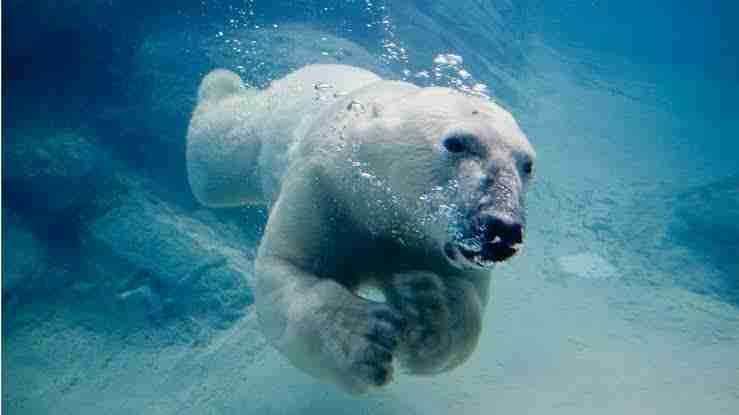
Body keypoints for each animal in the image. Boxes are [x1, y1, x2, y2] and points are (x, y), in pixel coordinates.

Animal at [188, 64, 536, 394]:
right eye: (456, 143)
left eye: (528, 164)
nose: (502, 229)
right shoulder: (326, 188)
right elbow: (288, 268)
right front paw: (365, 339)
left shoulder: (432, 244)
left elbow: (466, 303)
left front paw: (428, 307)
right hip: (267, 123)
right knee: (217, 158)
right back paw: (221, 83)